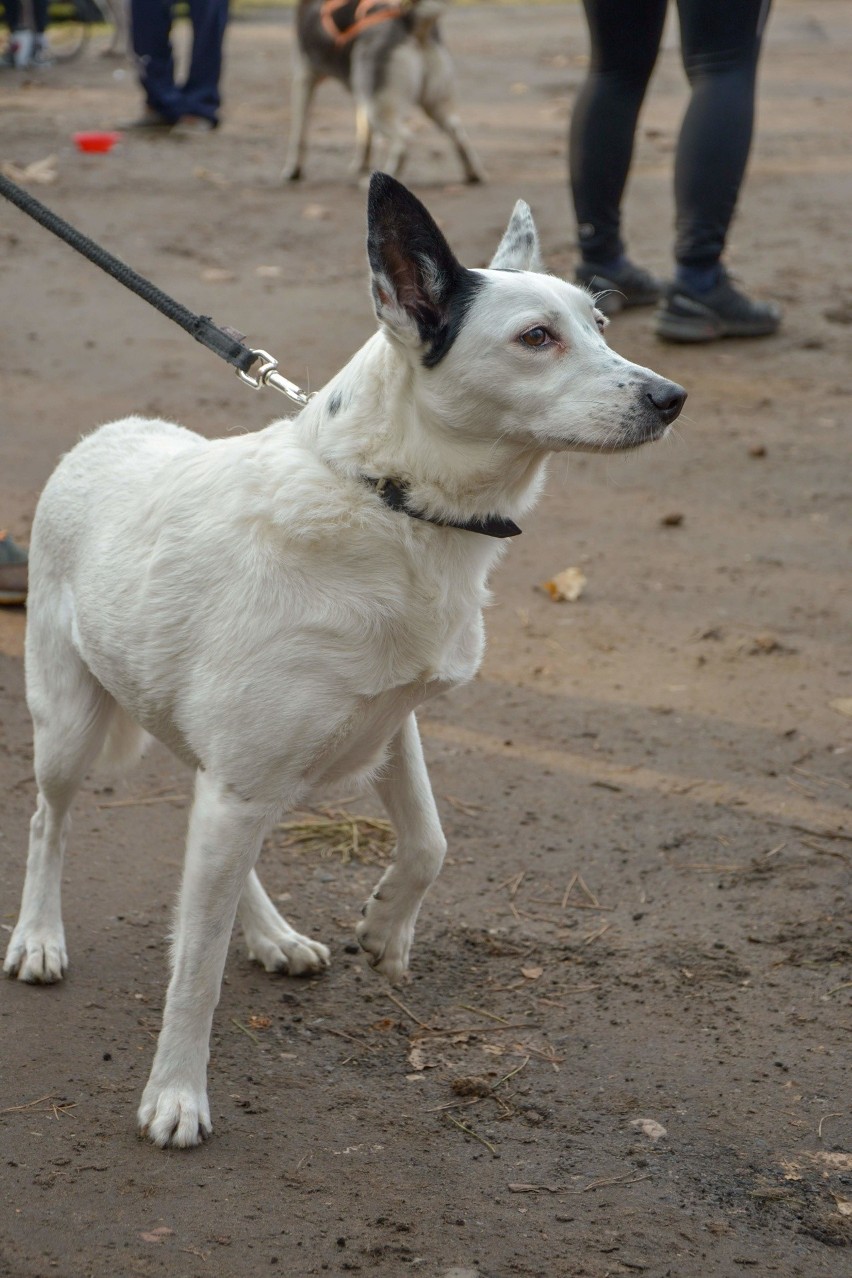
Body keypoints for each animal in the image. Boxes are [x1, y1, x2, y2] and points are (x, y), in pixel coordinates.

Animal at [1, 172, 684, 1150]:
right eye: (536, 338)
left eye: (599, 322)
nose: (672, 398)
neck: (394, 502)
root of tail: (107, 436)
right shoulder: (247, 780)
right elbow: (194, 970)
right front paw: (175, 1094)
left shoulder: (387, 726)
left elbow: (431, 841)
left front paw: (387, 930)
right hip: (68, 724)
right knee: (47, 821)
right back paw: (39, 937)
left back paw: (271, 933)